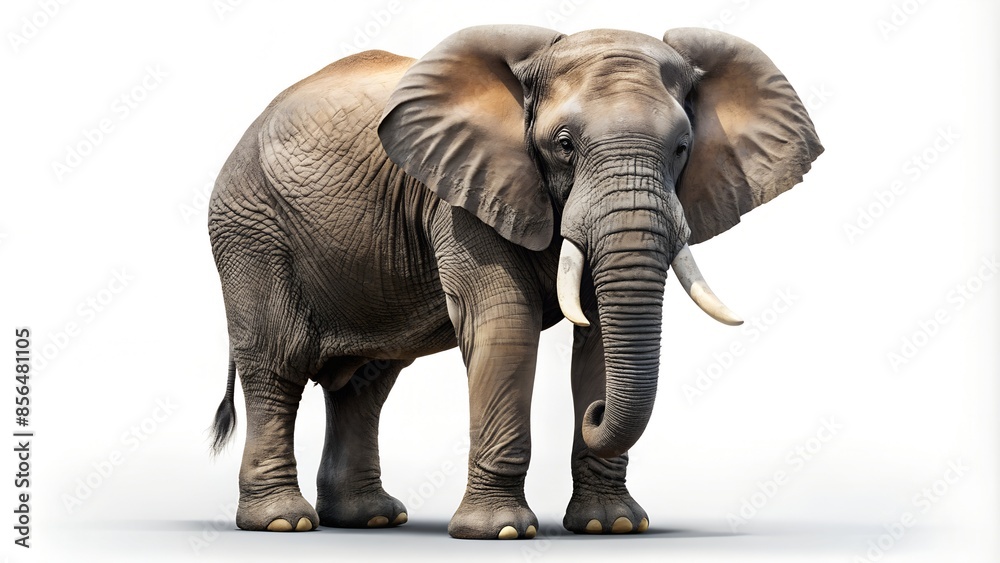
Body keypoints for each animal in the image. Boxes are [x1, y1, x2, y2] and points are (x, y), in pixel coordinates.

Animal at [207, 24, 822, 539]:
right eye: (564, 144)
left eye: (681, 148)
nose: (597, 414)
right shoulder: (463, 192)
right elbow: (505, 326)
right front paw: (501, 532)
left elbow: (599, 338)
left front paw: (613, 527)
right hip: (250, 231)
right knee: (278, 364)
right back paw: (283, 522)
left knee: (366, 384)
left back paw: (371, 518)